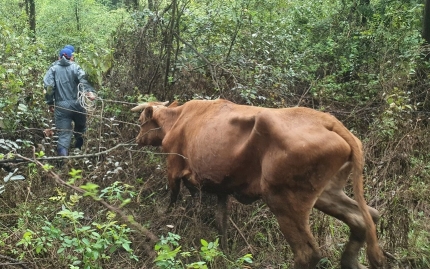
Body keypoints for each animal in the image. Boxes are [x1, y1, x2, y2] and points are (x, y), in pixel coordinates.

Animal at [131, 99, 382, 268]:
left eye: (142, 121)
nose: (136, 140)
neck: (178, 119)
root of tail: (329, 121)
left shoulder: (174, 168)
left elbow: (173, 200)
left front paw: (163, 221)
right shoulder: (222, 187)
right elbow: (221, 220)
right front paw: (224, 252)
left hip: (284, 200)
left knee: (307, 253)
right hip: (327, 192)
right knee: (364, 217)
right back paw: (351, 261)